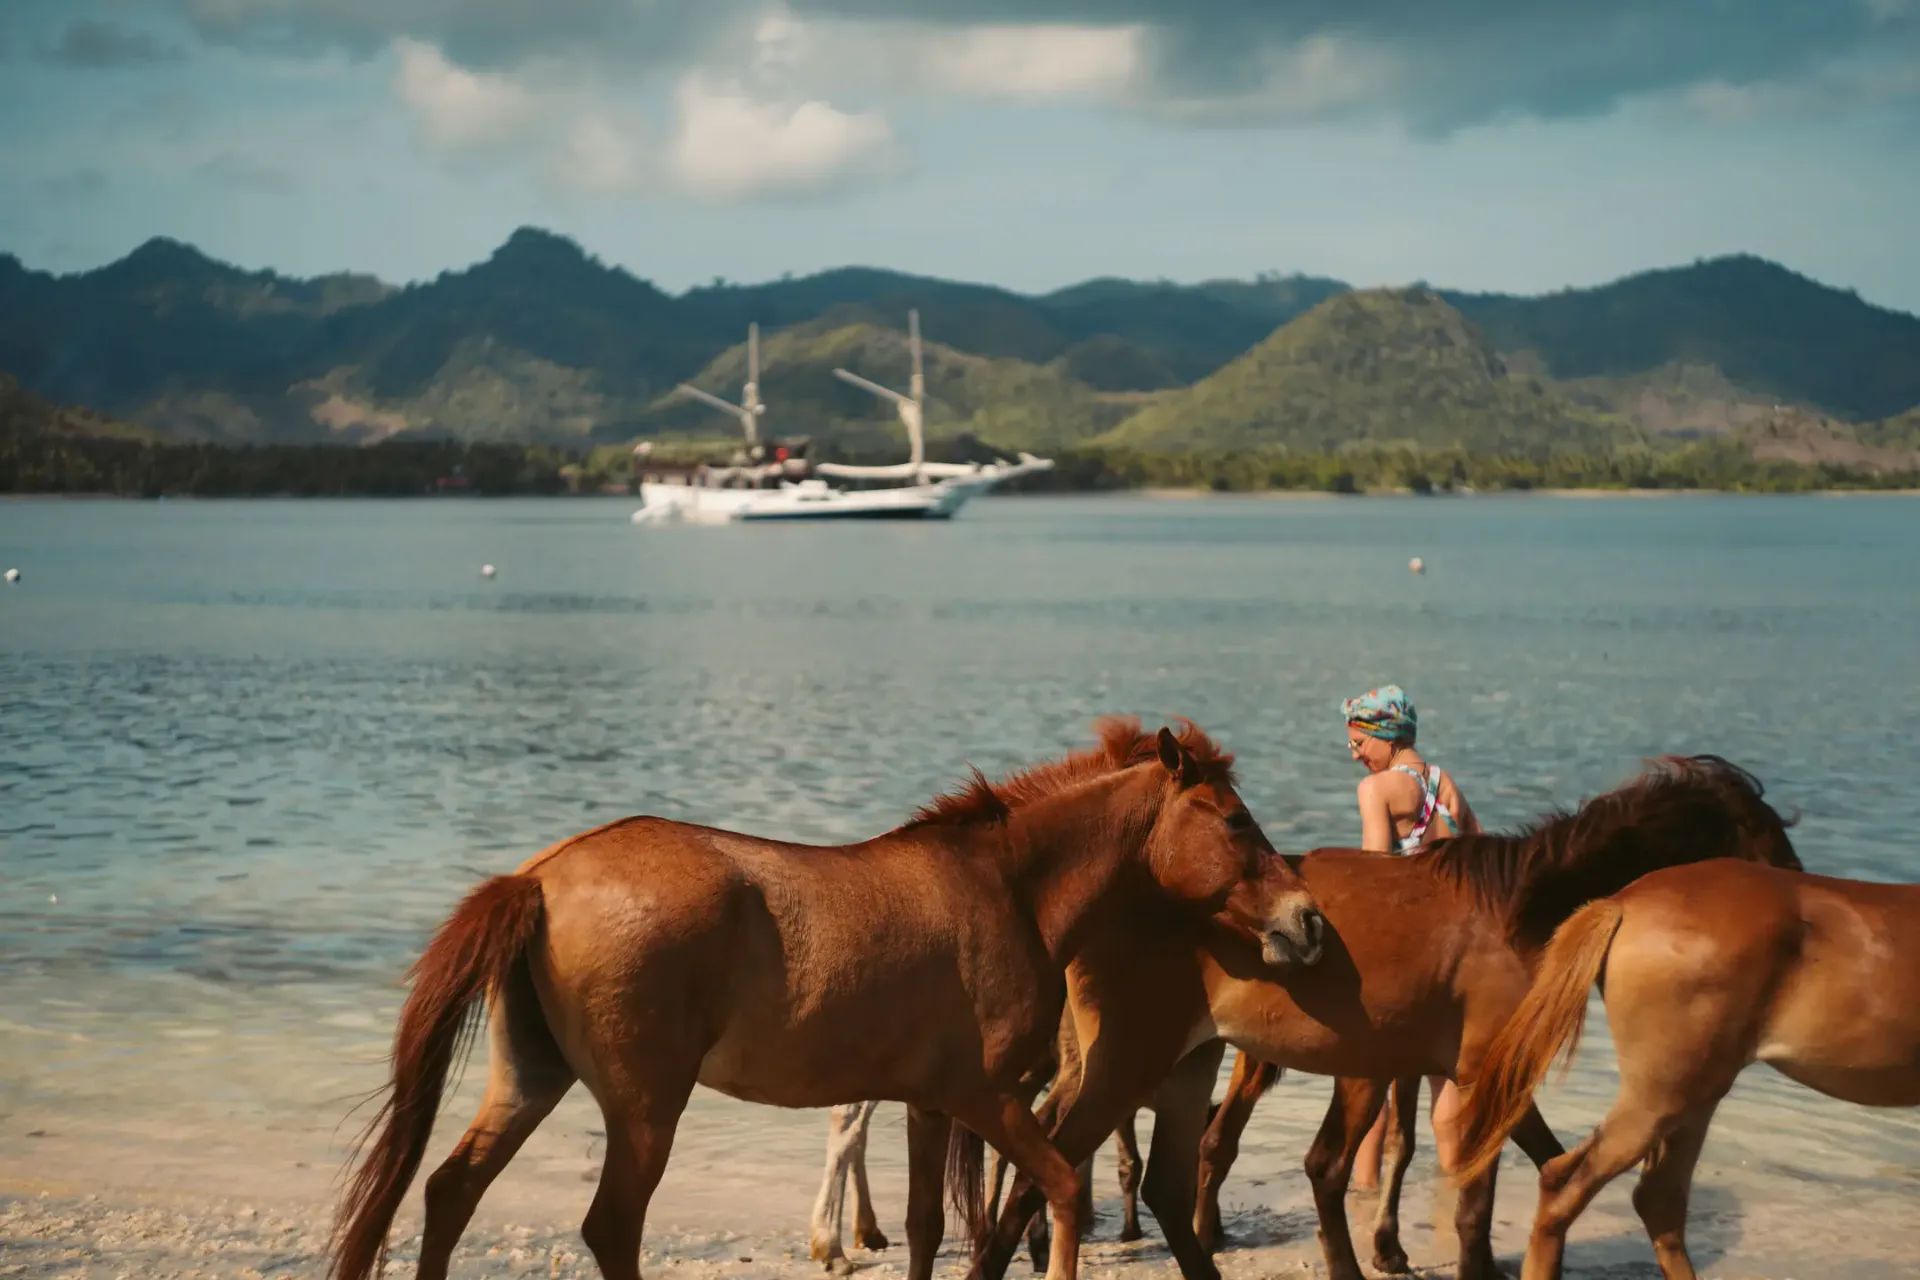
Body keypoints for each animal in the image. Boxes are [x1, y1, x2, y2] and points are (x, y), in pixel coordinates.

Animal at [327, 717, 1327, 1280]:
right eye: (1234, 819)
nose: (1308, 920)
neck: (1006, 885)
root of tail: (539, 878)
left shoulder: (931, 1106)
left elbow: (926, 1229)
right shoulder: (987, 1098)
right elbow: (1059, 1193)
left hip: (530, 1079)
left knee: (449, 1193)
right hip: (645, 1107)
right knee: (610, 1227)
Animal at [978, 755, 1801, 1280]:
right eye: (1767, 837)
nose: (1803, 895)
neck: (1518, 908)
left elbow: (1534, 1164)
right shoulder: (1481, 1073)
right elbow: (1476, 1199)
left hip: (1188, 1066)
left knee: (1162, 1181)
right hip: (1130, 1067)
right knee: (1048, 1170)